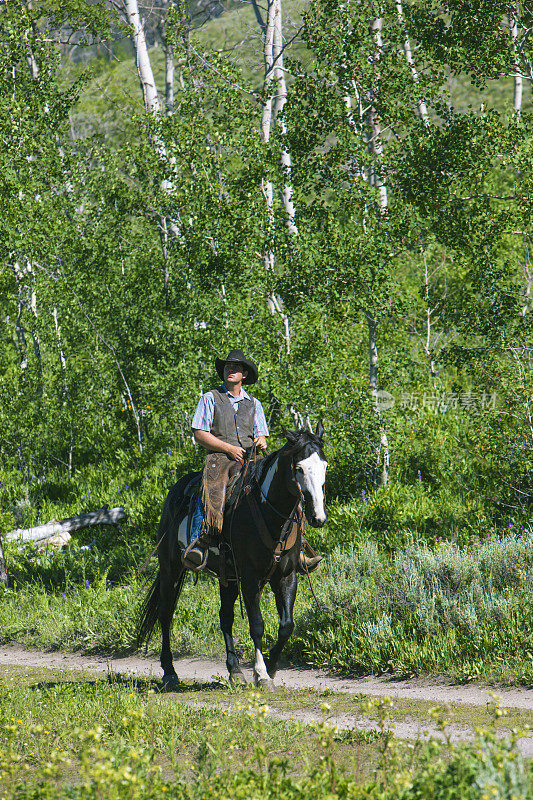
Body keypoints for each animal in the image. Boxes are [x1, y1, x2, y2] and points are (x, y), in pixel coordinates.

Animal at [136, 422, 328, 692]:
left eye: (325, 467)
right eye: (299, 468)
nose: (317, 517)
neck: (270, 516)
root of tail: (175, 490)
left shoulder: (286, 576)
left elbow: (286, 626)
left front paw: (271, 667)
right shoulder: (249, 578)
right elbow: (257, 624)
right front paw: (261, 674)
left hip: (227, 578)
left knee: (225, 617)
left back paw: (235, 671)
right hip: (170, 568)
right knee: (166, 614)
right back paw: (170, 672)